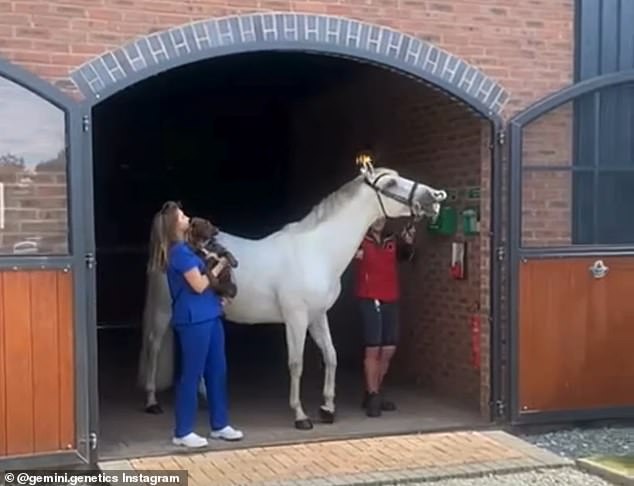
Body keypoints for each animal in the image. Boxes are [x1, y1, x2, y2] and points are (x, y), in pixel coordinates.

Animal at [138, 166, 444, 430]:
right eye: (390, 183)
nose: (435, 197)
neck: (317, 252)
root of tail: (170, 240)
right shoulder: (296, 318)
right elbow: (296, 363)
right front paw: (301, 415)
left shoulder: (317, 316)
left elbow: (331, 356)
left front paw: (327, 408)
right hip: (163, 311)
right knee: (154, 346)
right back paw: (152, 401)